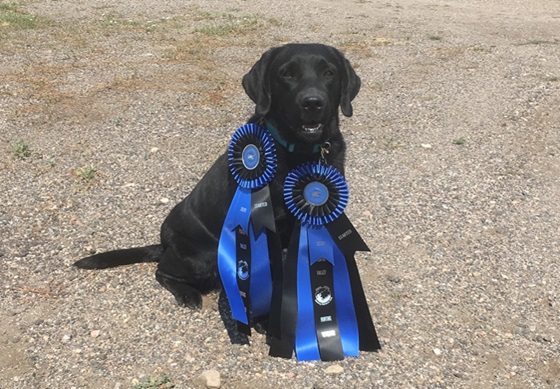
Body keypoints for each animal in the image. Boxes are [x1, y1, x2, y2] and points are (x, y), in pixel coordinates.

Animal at [74, 43, 360, 312]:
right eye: (286, 74)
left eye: (329, 73)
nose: (312, 102)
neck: (299, 153)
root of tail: (164, 244)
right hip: (206, 255)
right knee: (162, 272)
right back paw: (187, 294)